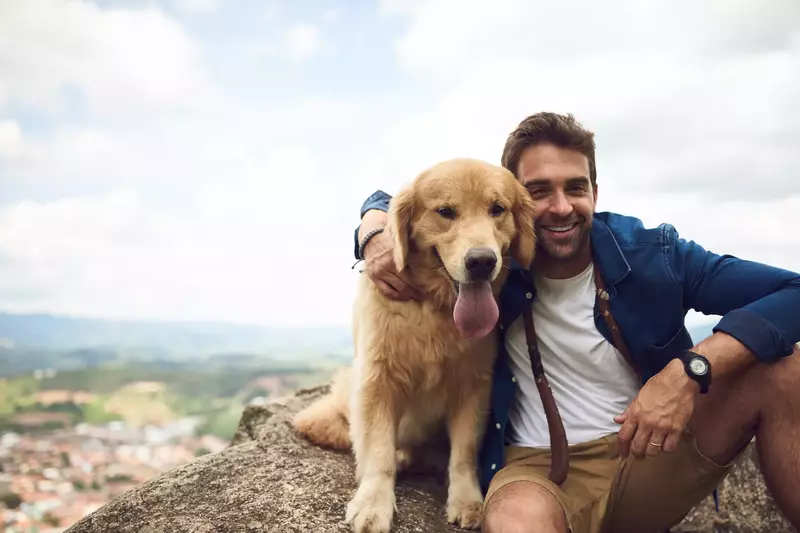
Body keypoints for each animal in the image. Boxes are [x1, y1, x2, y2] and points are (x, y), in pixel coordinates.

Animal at [290, 158, 536, 532]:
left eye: (498, 209)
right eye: (445, 211)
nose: (482, 261)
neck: (436, 307)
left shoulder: (475, 384)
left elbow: (464, 453)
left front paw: (467, 500)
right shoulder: (377, 379)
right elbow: (377, 450)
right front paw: (373, 503)